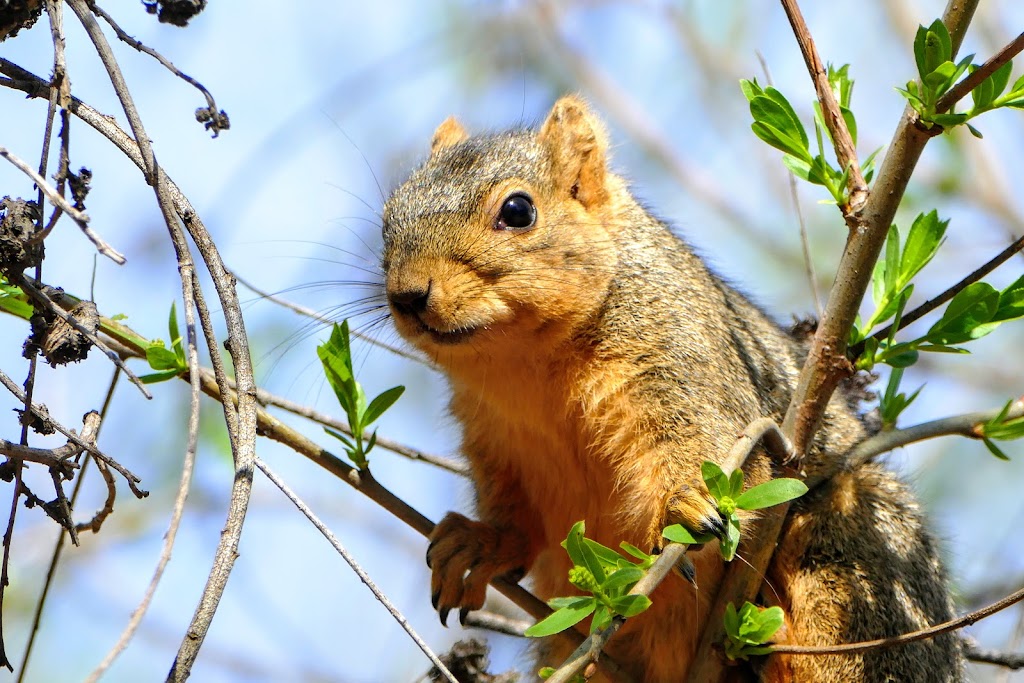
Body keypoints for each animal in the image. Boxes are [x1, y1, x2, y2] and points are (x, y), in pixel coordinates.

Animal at [380, 97, 962, 683]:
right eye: (387, 220)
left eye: (518, 211)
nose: (407, 295)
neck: (526, 367)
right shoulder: (496, 442)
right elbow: (517, 518)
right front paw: (479, 544)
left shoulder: (685, 362)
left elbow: (715, 452)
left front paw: (686, 503)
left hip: (858, 560)